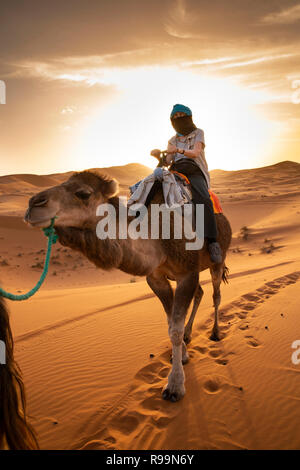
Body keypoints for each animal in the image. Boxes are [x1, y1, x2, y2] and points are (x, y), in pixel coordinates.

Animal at [25, 171, 232, 402]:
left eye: (84, 193)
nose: (34, 204)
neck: (158, 238)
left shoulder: (187, 273)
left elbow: (175, 330)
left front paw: (175, 386)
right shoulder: (156, 278)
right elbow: (171, 323)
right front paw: (182, 355)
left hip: (218, 259)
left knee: (216, 294)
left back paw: (215, 332)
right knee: (201, 293)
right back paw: (190, 333)